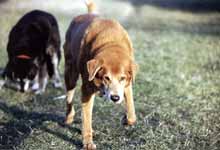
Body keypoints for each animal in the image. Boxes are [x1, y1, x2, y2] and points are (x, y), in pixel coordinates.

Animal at [63, 0, 138, 149]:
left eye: (122, 78)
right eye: (106, 78)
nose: (115, 98)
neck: (111, 42)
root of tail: (86, 14)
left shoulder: (127, 85)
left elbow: (132, 113)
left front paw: (126, 119)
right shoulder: (86, 89)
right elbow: (86, 119)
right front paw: (87, 142)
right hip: (71, 73)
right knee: (69, 97)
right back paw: (69, 117)